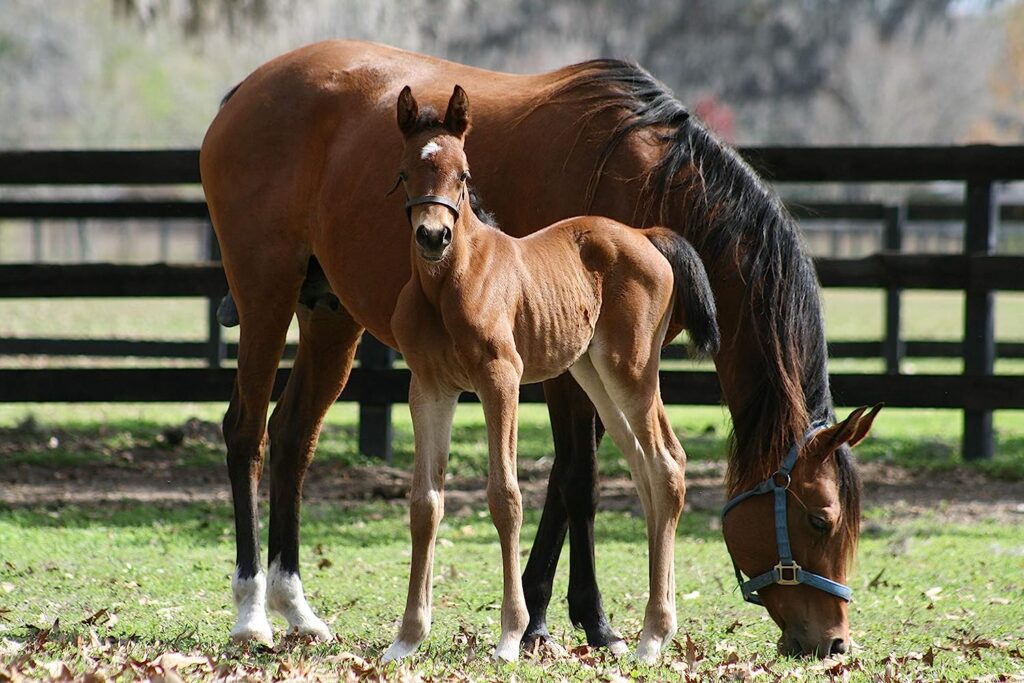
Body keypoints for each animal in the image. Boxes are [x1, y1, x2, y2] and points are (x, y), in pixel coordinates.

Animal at [385, 85, 720, 663]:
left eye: (464, 174)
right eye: (405, 173)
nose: (433, 236)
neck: (447, 283)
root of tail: (646, 235)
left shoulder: (501, 379)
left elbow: (506, 497)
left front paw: (510, 636)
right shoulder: (428, 388)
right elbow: (425, 503)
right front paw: (407, 638)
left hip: (631, 370)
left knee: (668, 464)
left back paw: (653, 636)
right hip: (593, 375)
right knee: (648, 469)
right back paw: (658, 627)